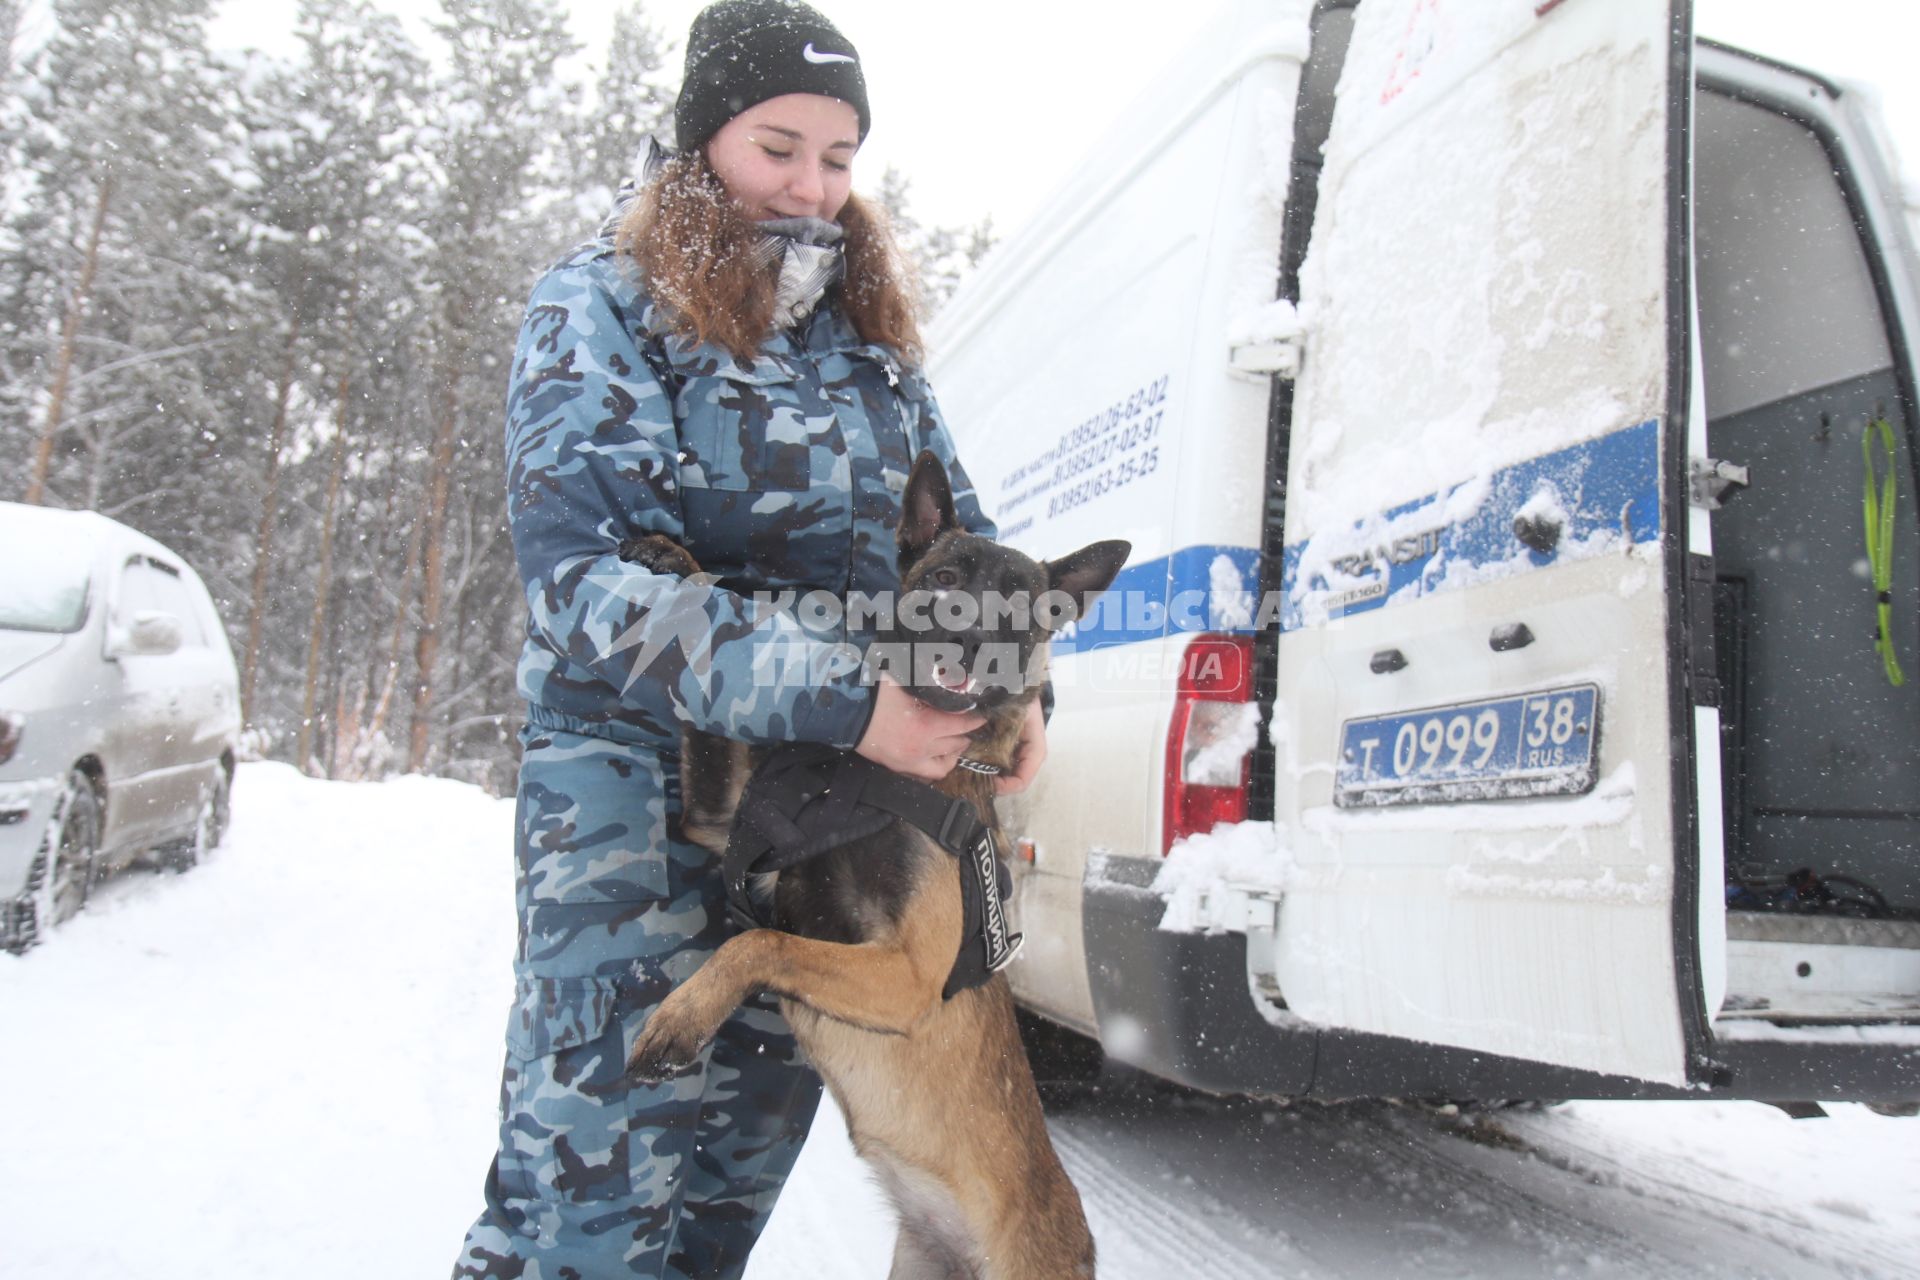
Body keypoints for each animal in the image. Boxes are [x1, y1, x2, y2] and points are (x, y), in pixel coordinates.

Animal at [622, 450, 1121, 1280]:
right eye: (945, 576)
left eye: (1022, 609)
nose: (968, 638)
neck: (887, 774)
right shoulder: (718, 823)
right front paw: (680, 563)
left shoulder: (909, 975)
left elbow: (757, 941)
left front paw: (680, 1020)